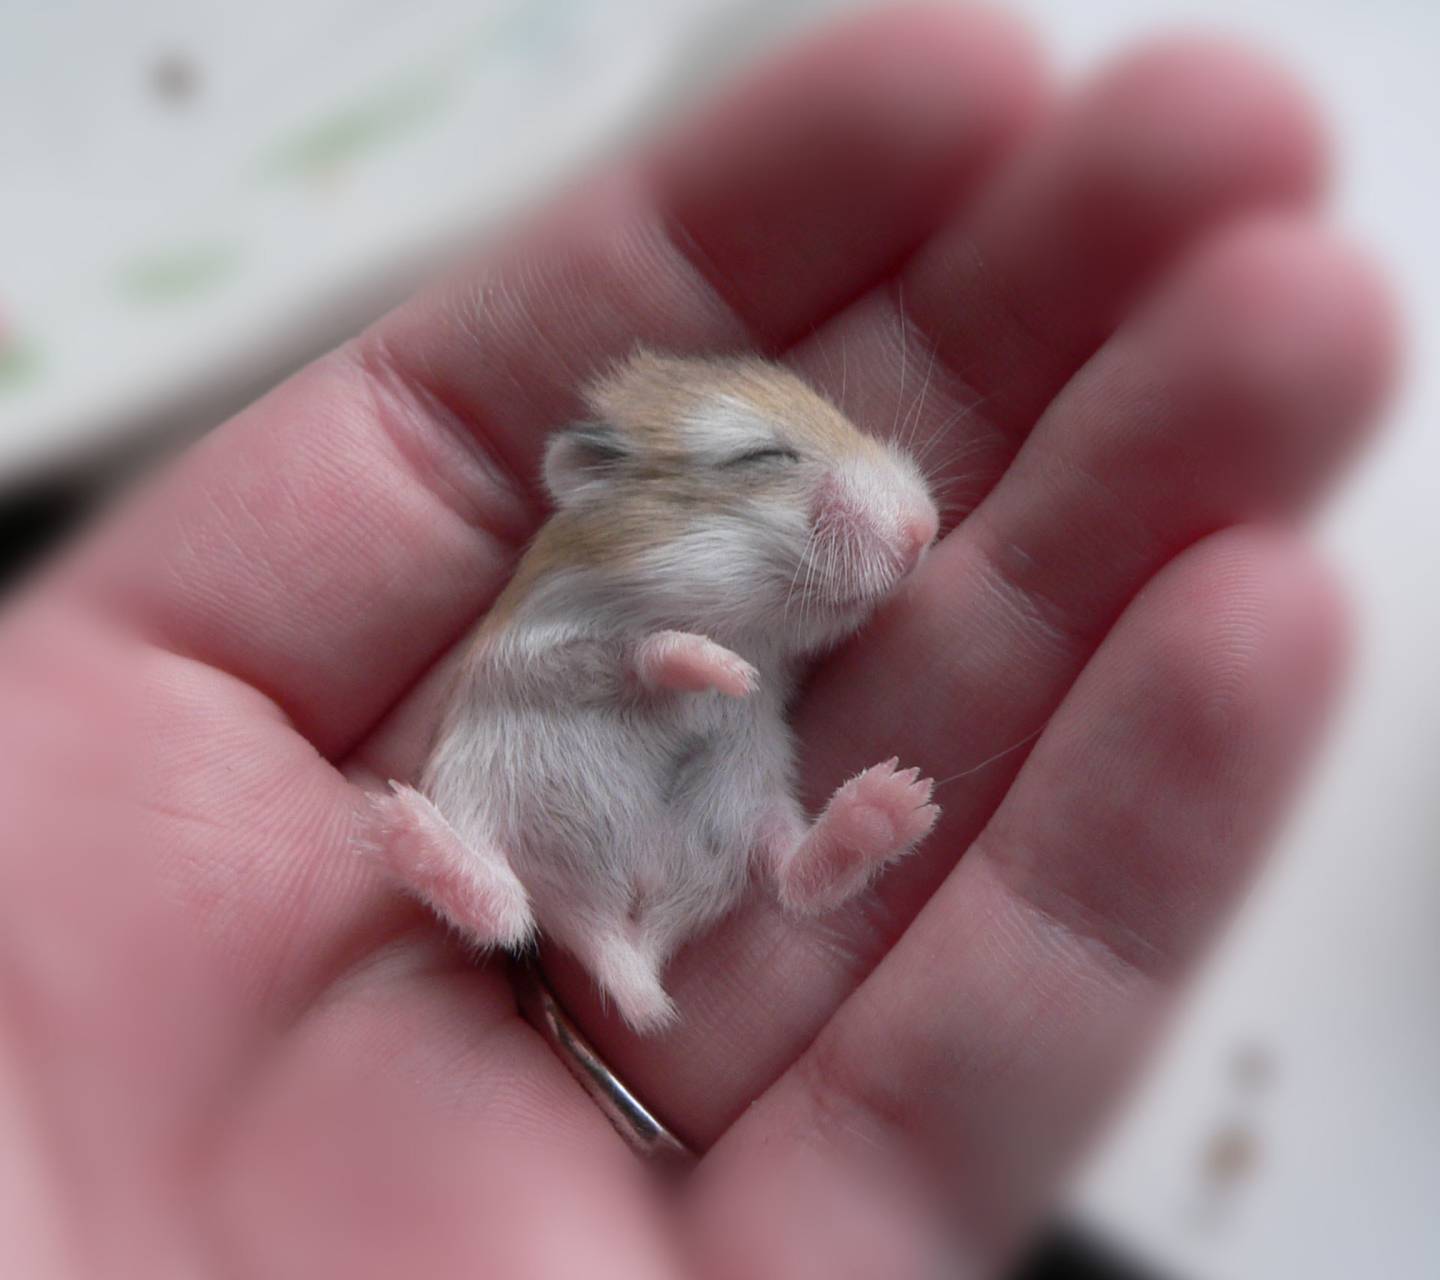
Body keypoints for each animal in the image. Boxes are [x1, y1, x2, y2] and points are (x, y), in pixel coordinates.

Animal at [373, 351, 941, 1033]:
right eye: (762, 456)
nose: (925, 530)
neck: (744, 625)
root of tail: (627, 940)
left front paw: (738, 680)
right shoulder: (541, 650)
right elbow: (644, 651)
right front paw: (730, 673)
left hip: (752, 803)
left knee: (794, 878)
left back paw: (896, 800)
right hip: (469, 789)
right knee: (504, 909)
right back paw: (399, 824)